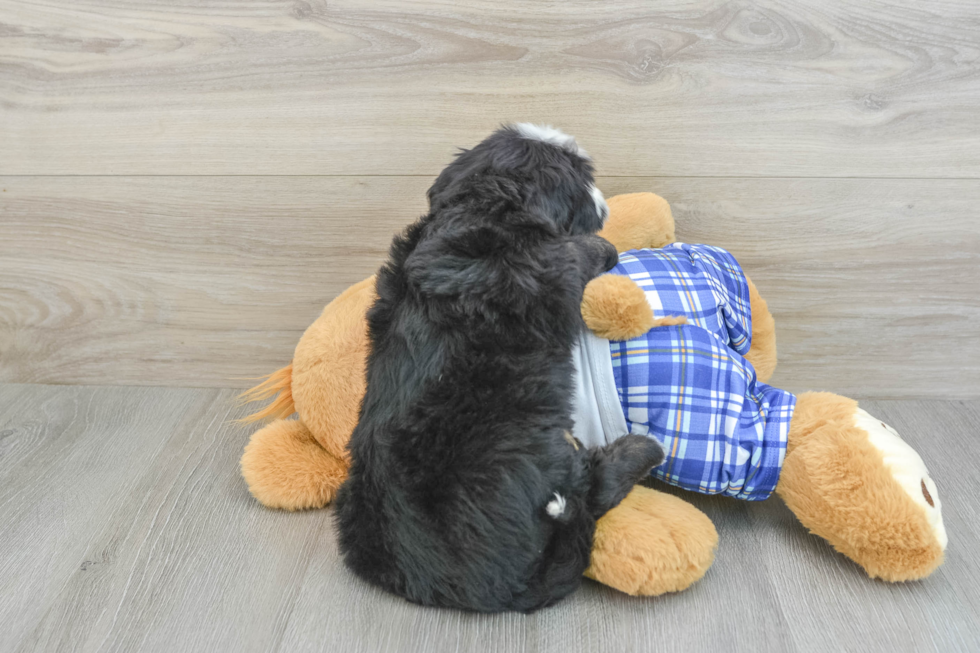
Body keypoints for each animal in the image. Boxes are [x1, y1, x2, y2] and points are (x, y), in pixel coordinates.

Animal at [336, 122, 668, 612]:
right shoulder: (552, 265)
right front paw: (605, 245)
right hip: (544, 464)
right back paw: (640, 449)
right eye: (584, 177)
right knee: (594, 490)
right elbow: (584, 251)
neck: (481, 204)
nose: (604, 201)